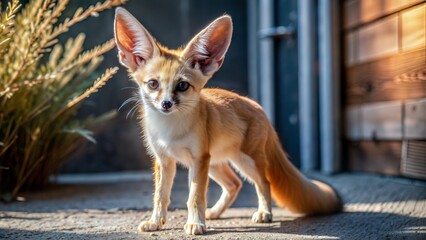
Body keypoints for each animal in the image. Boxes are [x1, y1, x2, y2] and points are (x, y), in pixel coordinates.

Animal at [114, 7, 342, 234]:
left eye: (182, 86)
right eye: (153, 84)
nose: (166, 104)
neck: (170, 132)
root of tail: (257, 106)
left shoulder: (198, 158)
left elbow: (195, 196)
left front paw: (195, 223)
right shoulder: (164, 159)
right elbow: (160, 196)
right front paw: (155, 221)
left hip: (243, 161)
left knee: (264, 182)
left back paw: (263, 212)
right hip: (216, 164)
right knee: (234, 184)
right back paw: (214, 213)